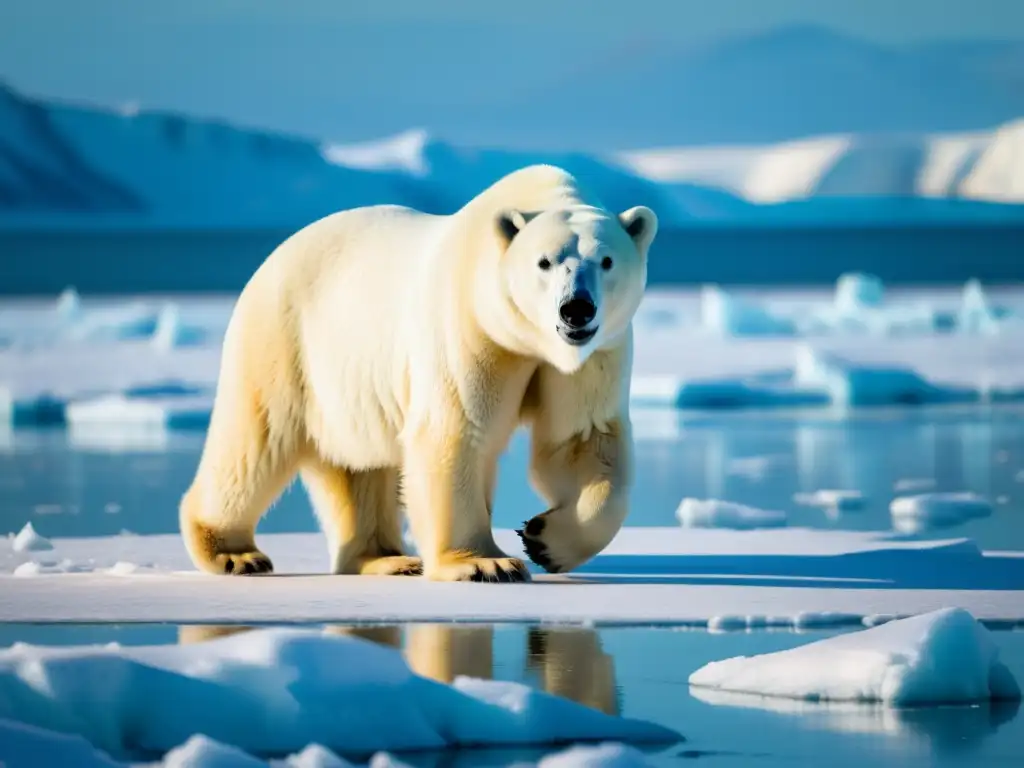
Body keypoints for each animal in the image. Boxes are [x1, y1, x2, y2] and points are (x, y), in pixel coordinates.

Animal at [180, 163, 659, 581]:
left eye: (606, 261)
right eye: (544, 262)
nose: (576, 308)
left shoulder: (594, 354)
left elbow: (581, 439)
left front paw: (544, 540)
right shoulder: (468, 328)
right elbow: (457, 432)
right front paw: (486, 564)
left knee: (358, 467)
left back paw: (387, 559)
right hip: (285, 342)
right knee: (256, 442)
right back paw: (233, 553)